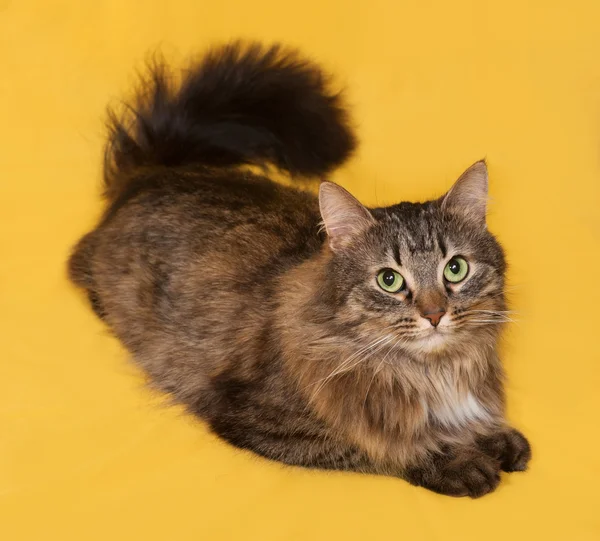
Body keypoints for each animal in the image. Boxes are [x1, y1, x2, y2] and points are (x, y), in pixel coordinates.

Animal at [68, 43, 532, 498]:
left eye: (455, 269)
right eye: (389, 280)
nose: (435, 315)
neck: (436, 373)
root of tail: (160, 171)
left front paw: (492, 436)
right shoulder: (264, 420)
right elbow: (382, 445)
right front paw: (458, 460)